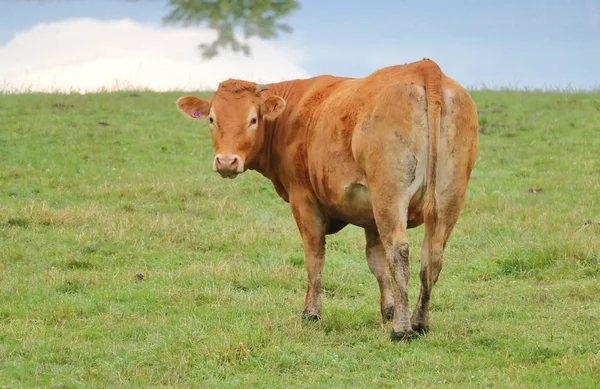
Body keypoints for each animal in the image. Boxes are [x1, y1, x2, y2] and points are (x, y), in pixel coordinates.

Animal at [175, 58, 478, 340]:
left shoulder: (304, 200)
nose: (227, 161)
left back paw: (401, 330)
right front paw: (387, 309)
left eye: (253, 119)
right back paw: (420, 322)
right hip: (448, 197)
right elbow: (376, 263)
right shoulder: (370, 217)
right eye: (212, 119)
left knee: (400, 253)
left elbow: (315, 258)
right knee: (432, 256)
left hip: (389, 196)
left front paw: (311, 312)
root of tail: (424, 67)